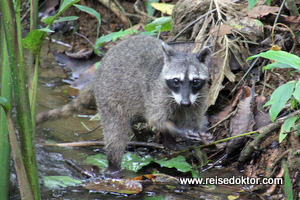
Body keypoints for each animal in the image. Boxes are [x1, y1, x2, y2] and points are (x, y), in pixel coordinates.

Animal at [92, 35, 212, 176]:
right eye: (176, 81)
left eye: (195, 81)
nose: (185, 103)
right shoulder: (157, 94)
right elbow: (156, 120)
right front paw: (181, 131)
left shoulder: (200, 94)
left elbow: (195, 117)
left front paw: (201, 131)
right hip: (107, 93)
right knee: (115, 132)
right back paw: (113, 166)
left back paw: (170, 144)